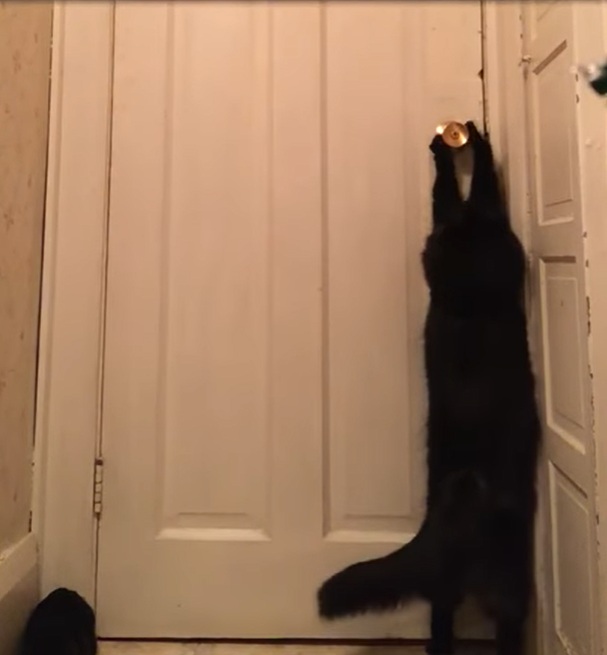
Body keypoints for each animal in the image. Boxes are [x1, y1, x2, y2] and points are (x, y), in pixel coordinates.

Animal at [317, 121, 541, 655]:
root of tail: (460, 494)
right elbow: (471, 188)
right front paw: (466, 146)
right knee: (504, 625)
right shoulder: (483, 229)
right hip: (510, 583)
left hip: (445, 584)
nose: (453, 132)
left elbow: (456, 194)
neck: (469, 297)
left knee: (440, 623)